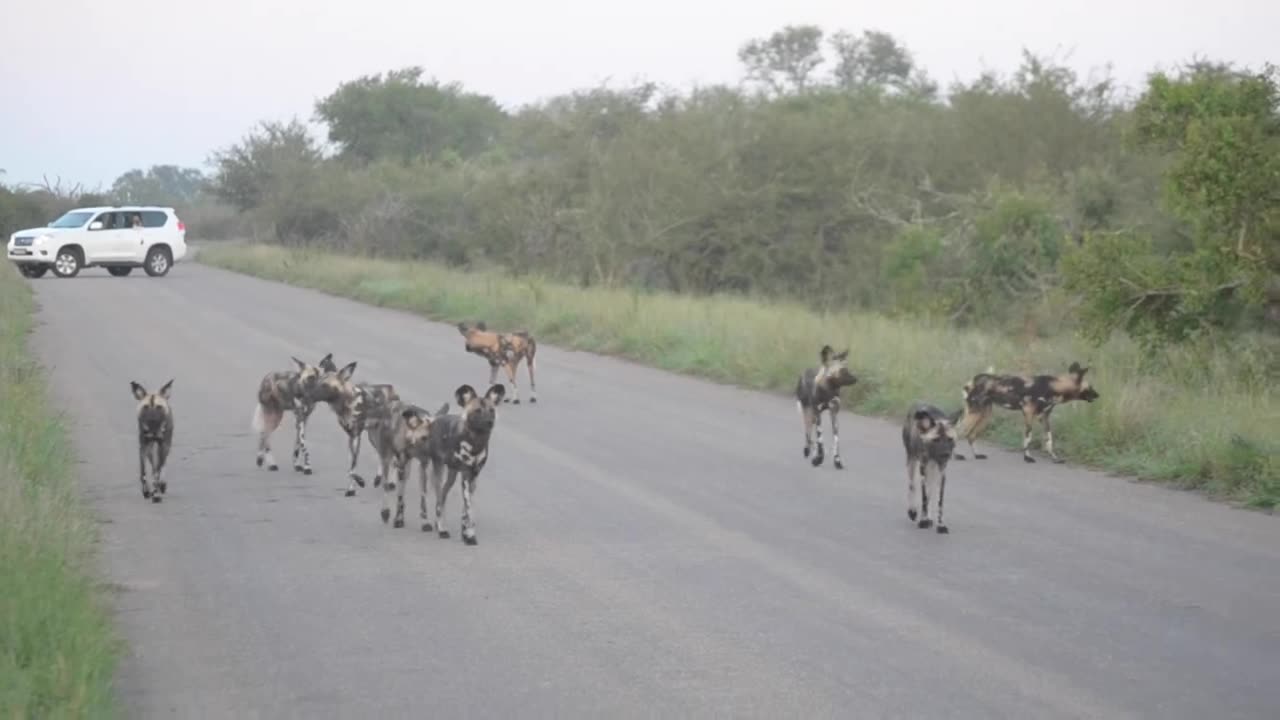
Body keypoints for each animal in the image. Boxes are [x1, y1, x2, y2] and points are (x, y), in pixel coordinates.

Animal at [366, 397, 450, 527]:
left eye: (440, 438)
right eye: (425, 438)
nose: (440, 455)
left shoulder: (423, 465)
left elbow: (423, 495)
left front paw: (424, 522)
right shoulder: (401, 464)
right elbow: (399, 496)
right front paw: (396, 518)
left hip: (408, 468)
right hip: (388, 459)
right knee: (386, 482)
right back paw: (385, 509)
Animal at [906, 399, 957, 530]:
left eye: (950, 439)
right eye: (936, 440)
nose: (946, 454)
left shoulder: (942, 471)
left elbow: (939, 500)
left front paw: (940, 525)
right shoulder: (923, 468)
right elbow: (924, 497)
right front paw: (923, 520)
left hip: (933, 469)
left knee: (930, 490)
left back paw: (928, 518)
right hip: (912, 461)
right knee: (912, 485)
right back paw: (913, 511)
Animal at [952, 361, 1100, 461]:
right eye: (1090, 387)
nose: (1098, 395)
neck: (1054, 387)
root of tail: (973, 380)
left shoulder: (1044, 417)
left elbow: (1049, 439)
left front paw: (1054, 457)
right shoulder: (1028, 413)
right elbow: (1028, 437)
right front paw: (1027, 457)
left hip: (985, 416)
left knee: (970, 436)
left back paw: (977, 455)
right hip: (975, 413)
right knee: (958, 431)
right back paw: (957, 456)